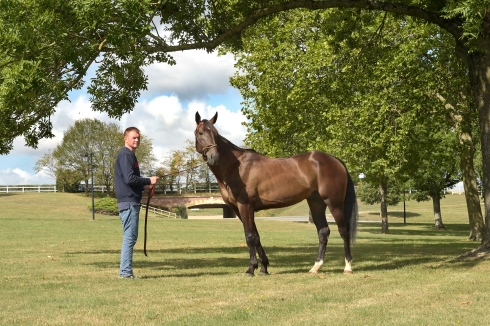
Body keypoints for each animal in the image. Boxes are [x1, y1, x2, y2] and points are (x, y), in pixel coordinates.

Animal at [195, 112, 360, 276]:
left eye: (215, 134)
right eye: (201, 132)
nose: (214, 157)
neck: (236, 167)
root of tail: (336, 160)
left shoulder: (245, 207)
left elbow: (249, 237)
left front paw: (251, 268)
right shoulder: (239, 210)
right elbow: (256, 236)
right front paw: (263, 267)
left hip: (334, 203)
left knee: (343, 231)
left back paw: (347, 267)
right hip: (316, 203)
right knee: (323, 232)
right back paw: (315, 267)